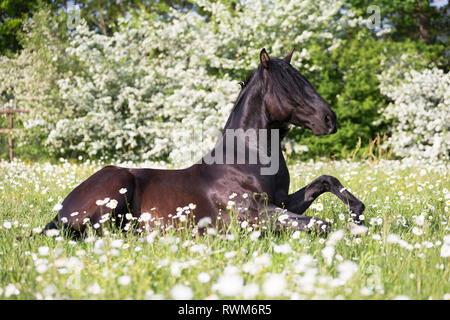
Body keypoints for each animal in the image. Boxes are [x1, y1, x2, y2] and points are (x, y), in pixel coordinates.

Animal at [44, 48, 364, 238]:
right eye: (289, 87)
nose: (330, 119)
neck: (247, 160)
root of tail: (62, 212)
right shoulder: (256, 215)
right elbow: (321, 224)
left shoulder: (283, 202)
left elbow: (326, 181)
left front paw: (357, 215)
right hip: (114, 191)